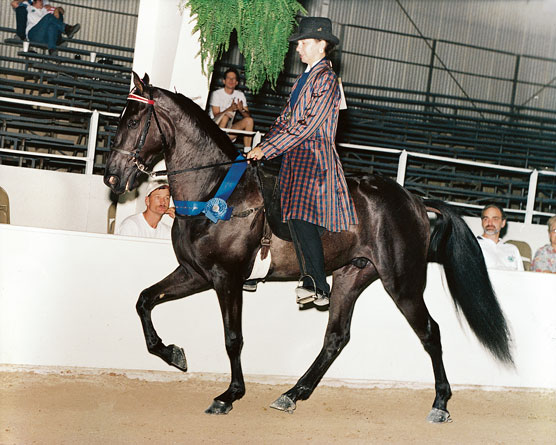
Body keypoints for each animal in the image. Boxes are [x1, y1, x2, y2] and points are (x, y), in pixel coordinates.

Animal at [104, 72, 512, 420]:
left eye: (134, 122)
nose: (112, 176)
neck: (214, 189)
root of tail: (413, 199)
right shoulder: (195, 273)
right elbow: (144, 300)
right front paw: (174, 354)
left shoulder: (226, 278)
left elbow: (233, 338)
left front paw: (229, 395)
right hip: (351, 276)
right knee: (336, 337)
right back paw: (292, 393)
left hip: (403, 283)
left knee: (430, 332)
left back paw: (440, 403)